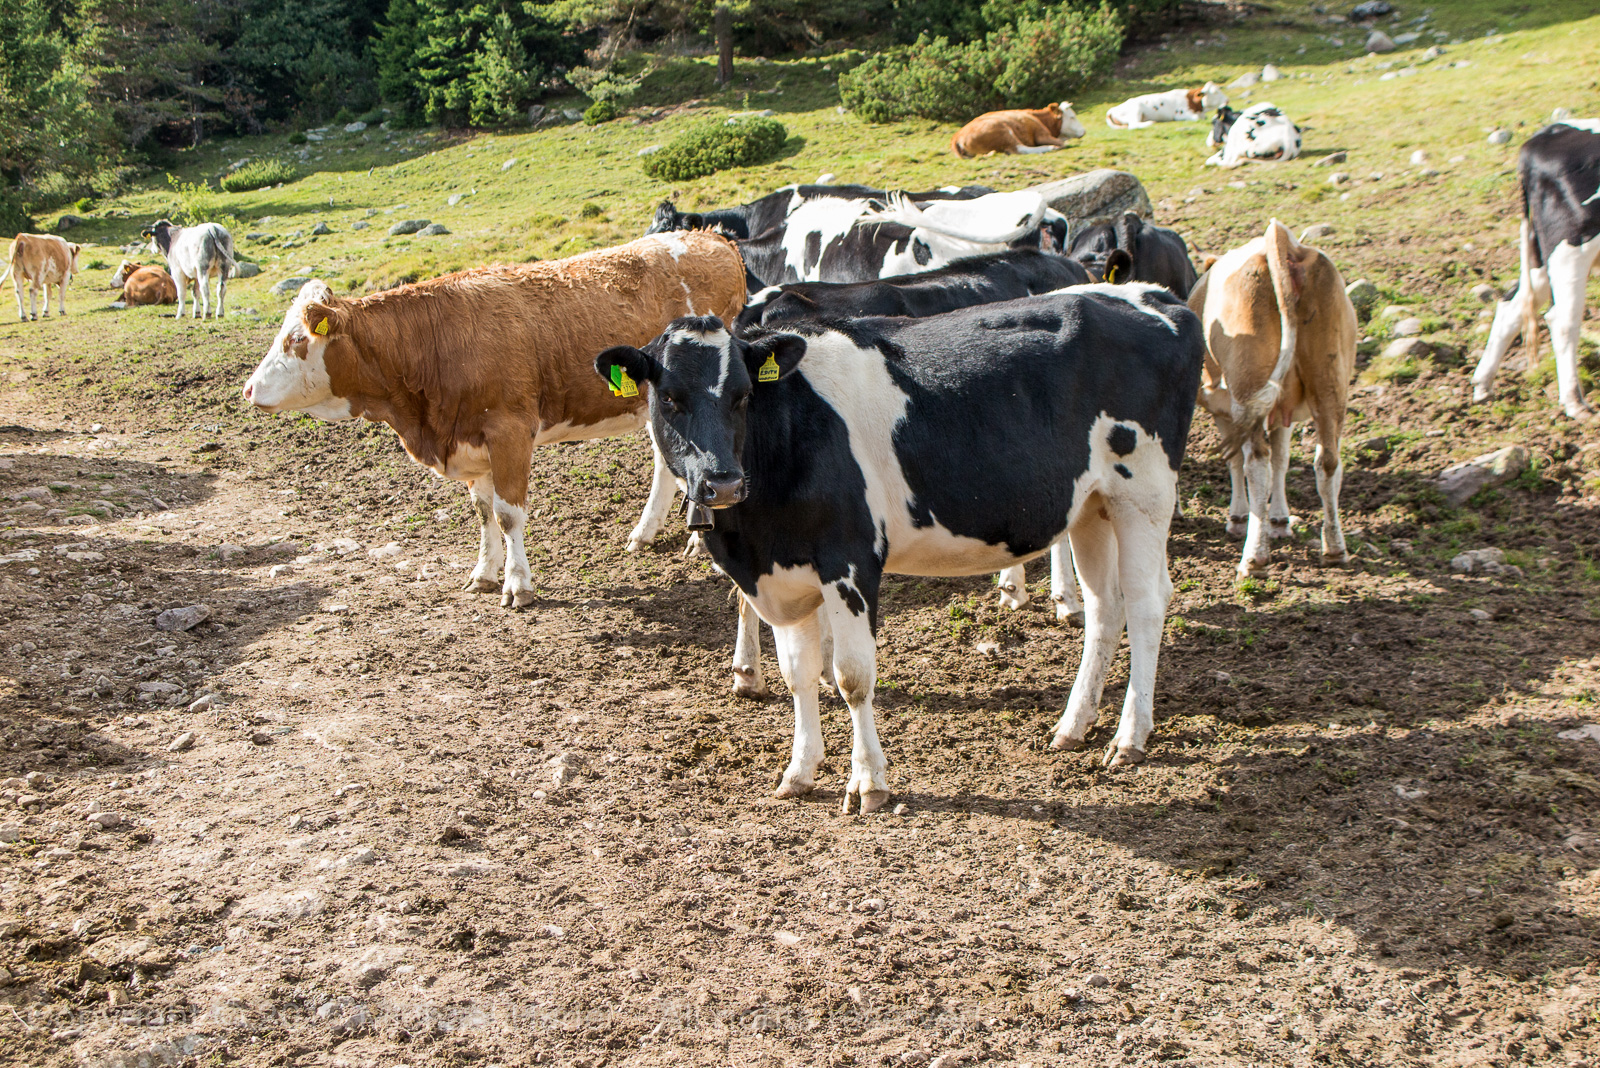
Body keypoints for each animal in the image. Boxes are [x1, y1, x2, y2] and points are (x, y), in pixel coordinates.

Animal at [242, 231, 747, 608]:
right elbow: (483, 512)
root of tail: (710, 237)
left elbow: (507, 515)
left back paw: (697, 540)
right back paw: (644, 533)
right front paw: (484, 574)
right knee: (666, 460)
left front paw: (517, 584)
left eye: (296, 340)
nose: (248, 389)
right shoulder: (469, 439)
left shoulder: (509, 433)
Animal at [593, 290, 1204, 812]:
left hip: (1143, 493)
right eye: (670, 398)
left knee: (1147, 604)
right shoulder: (783, 576)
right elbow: (797, 674)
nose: (722, 482)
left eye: (742, 395)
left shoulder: (850, 561)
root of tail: (1154, 299)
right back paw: (1074, 726)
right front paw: (800, 770)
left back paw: (1130, 736)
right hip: (1092, 505)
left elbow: (851, 677)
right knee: (1104, 608)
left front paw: (868, 783)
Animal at [950, 102, 1088, 157]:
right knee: (1019, 149)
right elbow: (1062, 143)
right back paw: (1051, 147)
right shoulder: (1041, 134)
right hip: (1004, 132)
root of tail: (957, 136)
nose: (1084, 131)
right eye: (1072, 117)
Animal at [1189, 220, 1356, 577]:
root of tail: (1283, 244)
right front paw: (1279, 520)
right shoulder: (1283, 410)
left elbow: (1237, 460)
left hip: (1247, 386)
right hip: (1330, 383)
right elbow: (1283, 457)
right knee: (1327, 461)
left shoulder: (1223, 409)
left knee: (1257, 461)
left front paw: (1239, 518)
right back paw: (1335, 548)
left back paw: (1254, 556)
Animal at [1471, 119, 1600, 420]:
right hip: (1572, 246)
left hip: (1540, 253)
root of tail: (1548, 133)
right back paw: (1575, 403)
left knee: (1511, 305)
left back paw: (1483, 385)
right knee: (1562, 320)